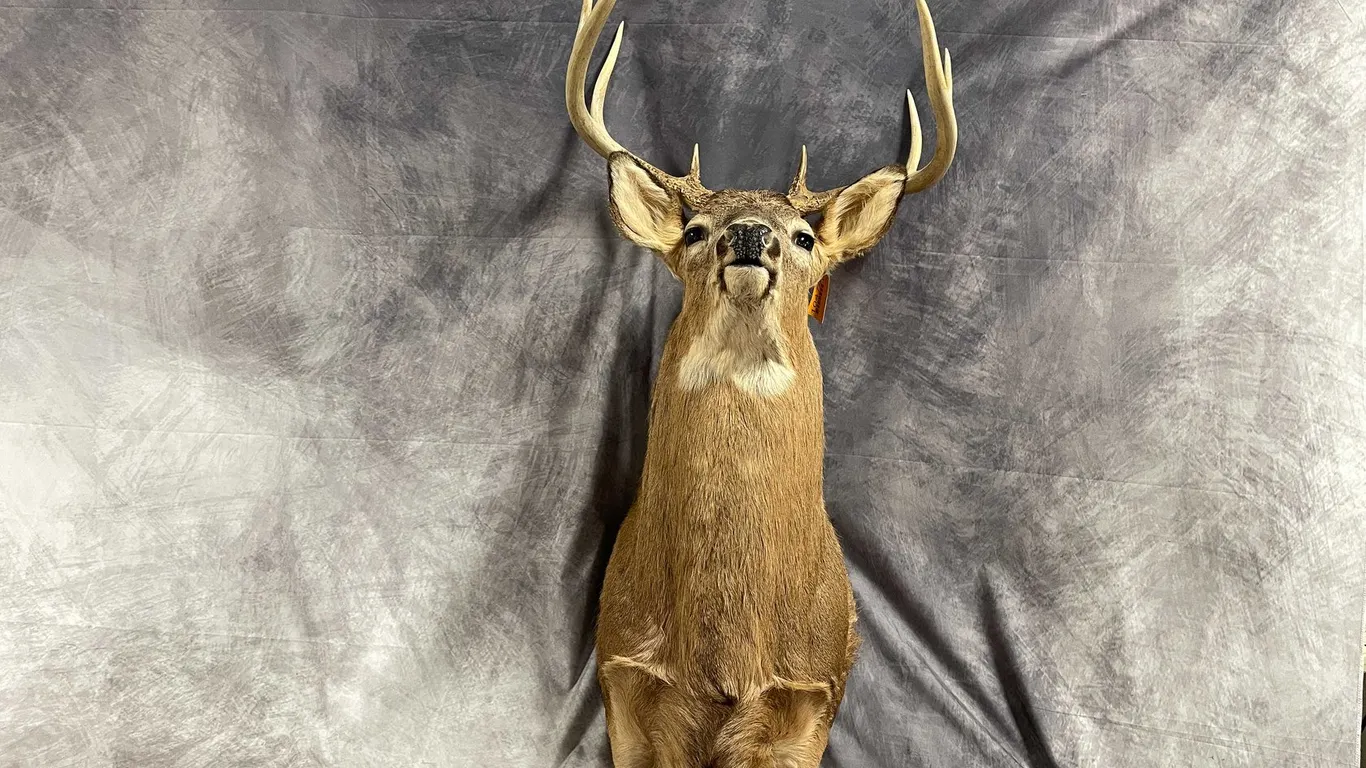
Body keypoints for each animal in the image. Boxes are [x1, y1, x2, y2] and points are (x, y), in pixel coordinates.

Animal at [565, 0, 956, 765]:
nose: (749, 235)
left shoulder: (810, 695)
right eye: (693, 229)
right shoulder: (622, 677)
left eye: (804, 235)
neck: (723, 654)